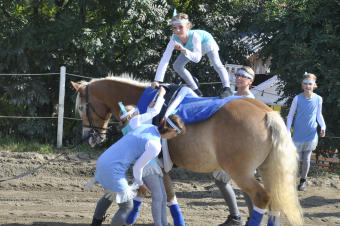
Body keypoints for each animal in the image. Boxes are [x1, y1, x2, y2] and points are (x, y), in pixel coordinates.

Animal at [71, 76, 302, 226]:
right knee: (275, 201)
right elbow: (158, 196)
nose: (89, 137)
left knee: (261, 197)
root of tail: (267, 113)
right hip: (267, 169)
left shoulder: (158, 164)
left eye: (82, 108)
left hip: (241, 172)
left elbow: (165, 197)